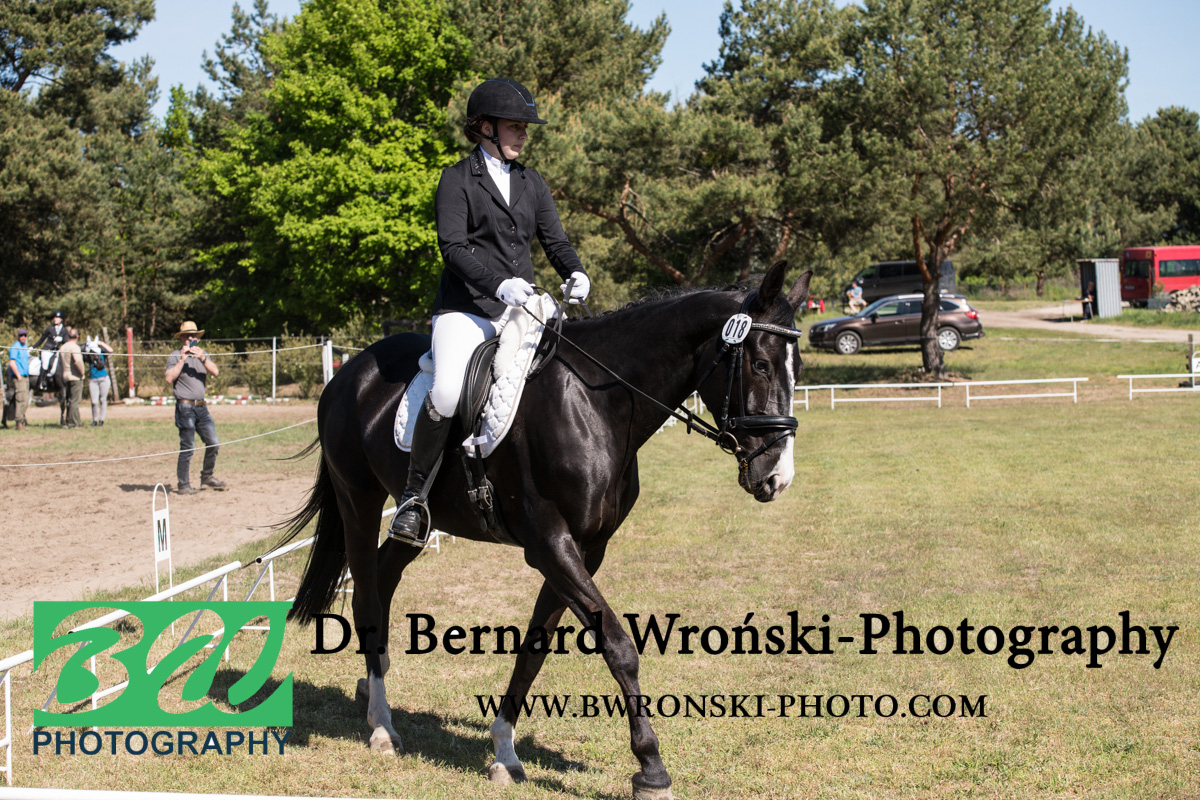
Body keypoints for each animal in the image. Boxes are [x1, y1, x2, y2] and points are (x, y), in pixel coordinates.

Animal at [281, 260, 811, 799]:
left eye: (798, 369)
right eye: (761, 365)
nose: (777, 477)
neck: (598, 403)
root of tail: (350, 372)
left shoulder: (585, 549)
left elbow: (535, 647)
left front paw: (504, 752)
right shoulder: (550, 545)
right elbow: (618, 645)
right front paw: (651, 767)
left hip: (423, 520)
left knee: (385, 576)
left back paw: (373, 692)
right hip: (359, 501)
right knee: (367, 595)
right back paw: (383, 728)